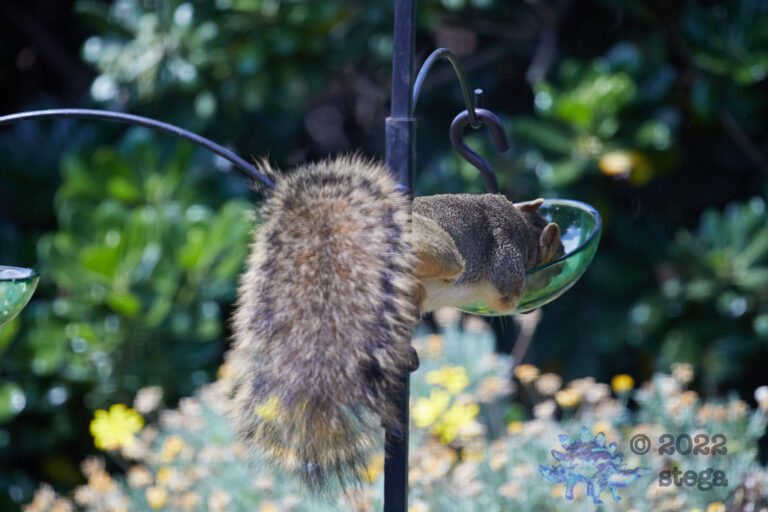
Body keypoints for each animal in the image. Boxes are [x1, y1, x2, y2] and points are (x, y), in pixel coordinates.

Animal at [227, 155, 562, 495]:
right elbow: (508, 296)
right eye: (558, 248)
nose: (559, 262)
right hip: (439, 249)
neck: (523, 227)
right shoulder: (507, 263)